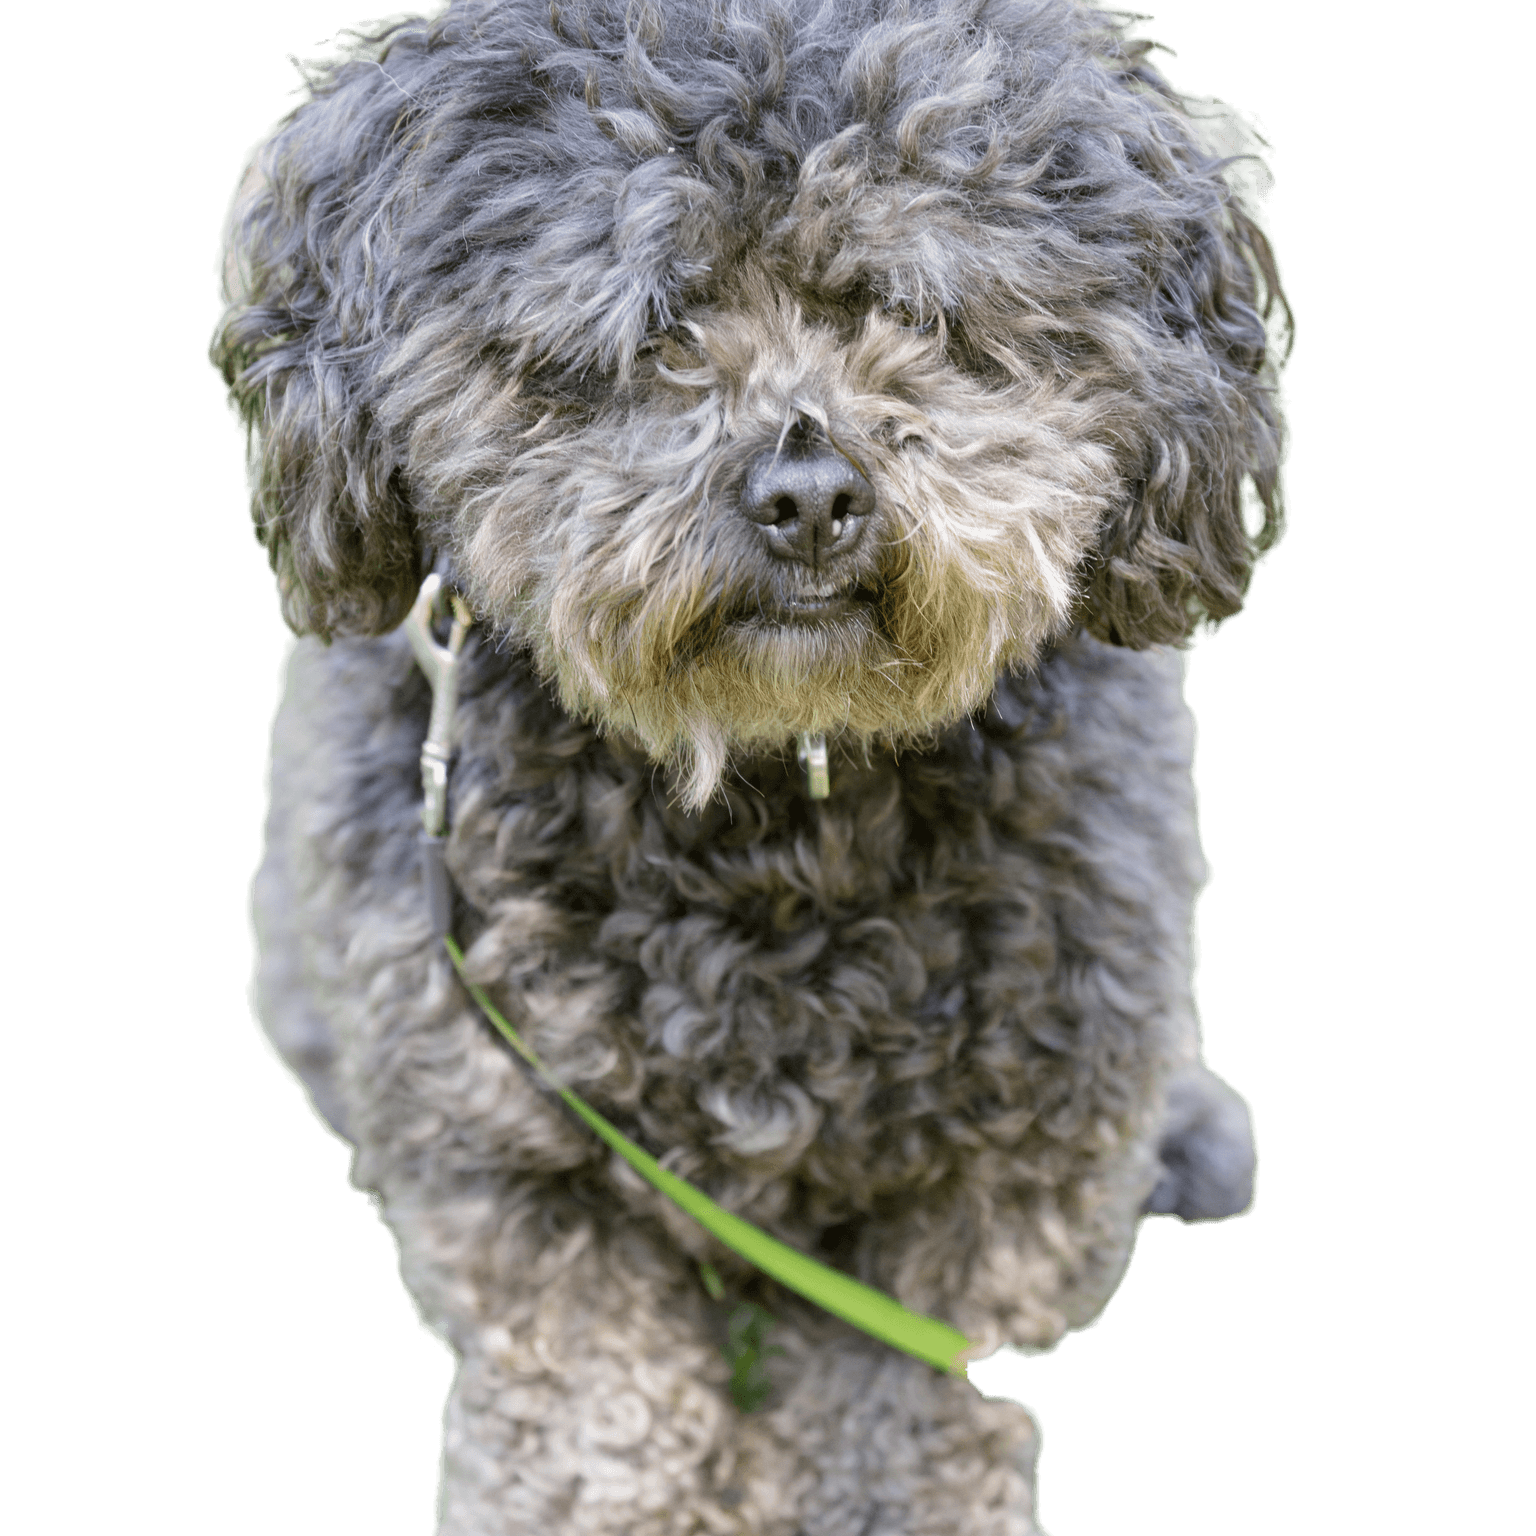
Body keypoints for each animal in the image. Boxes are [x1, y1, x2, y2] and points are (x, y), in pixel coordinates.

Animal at [213, 6, 1296, 1529]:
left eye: (915, 310)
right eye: (653, 324)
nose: (810, 495)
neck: (772, 787)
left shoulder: (1000, 1157)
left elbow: (905, 1402)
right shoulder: (516, 1159)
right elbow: (594, 1421)